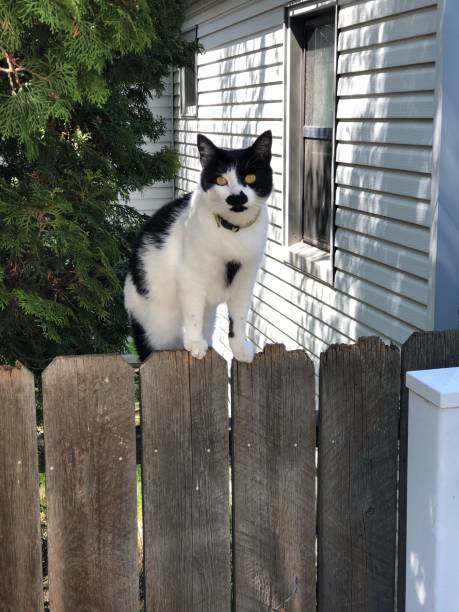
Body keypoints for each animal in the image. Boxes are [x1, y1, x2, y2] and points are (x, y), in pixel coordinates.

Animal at [124, 129, 274, 358]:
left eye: (250, 177)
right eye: (221, 180)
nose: (236, 197)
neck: (233, 233)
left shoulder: (246, 278)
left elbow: (239, 317)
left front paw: (240, 349)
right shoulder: (190, 275)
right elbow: (193, 311)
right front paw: (195, 343)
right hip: (155, 330)